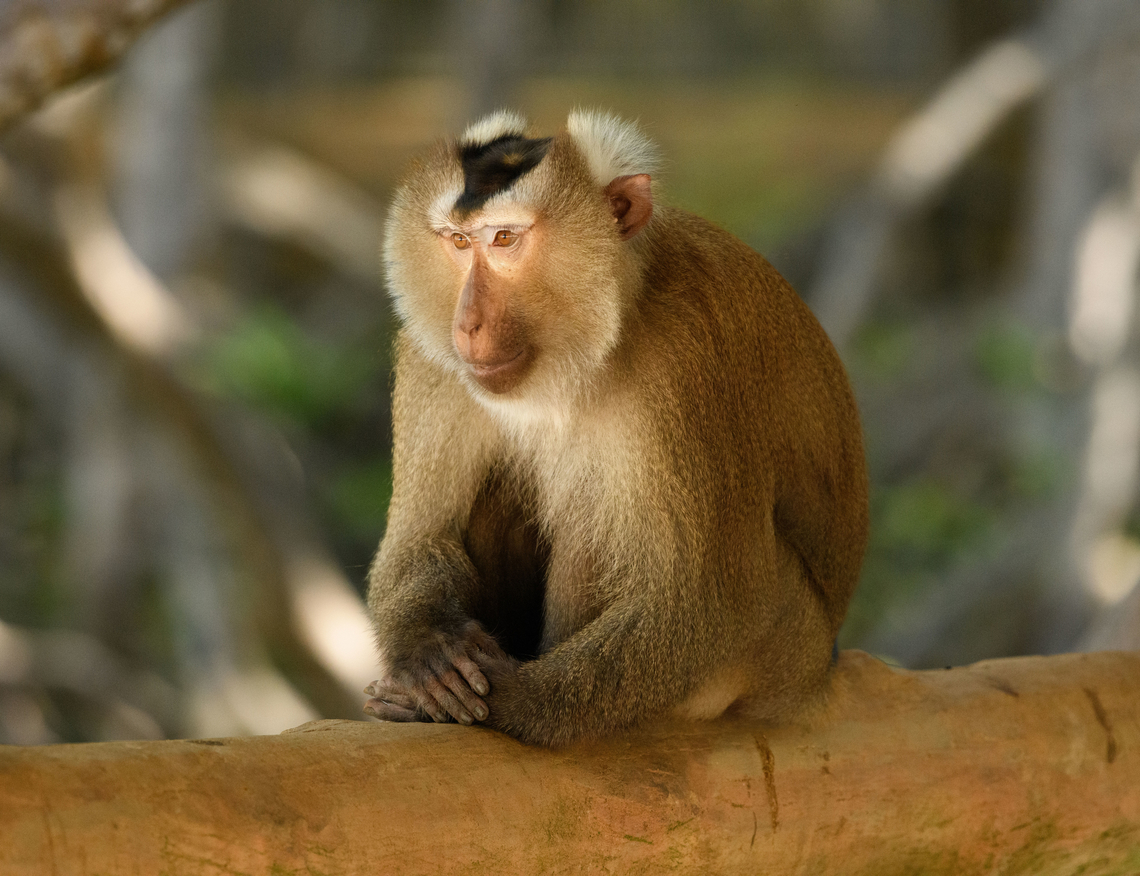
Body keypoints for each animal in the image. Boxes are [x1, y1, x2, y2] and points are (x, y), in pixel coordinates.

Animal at [363, 109, 869, 747]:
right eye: (458, 242)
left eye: (504, 239)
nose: (469, 323)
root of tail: (821, 671)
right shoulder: (435, 363)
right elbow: (420, 536)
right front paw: (431, 652)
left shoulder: (685, 361)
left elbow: (707, 602)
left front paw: (513, 698)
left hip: (783, 653)